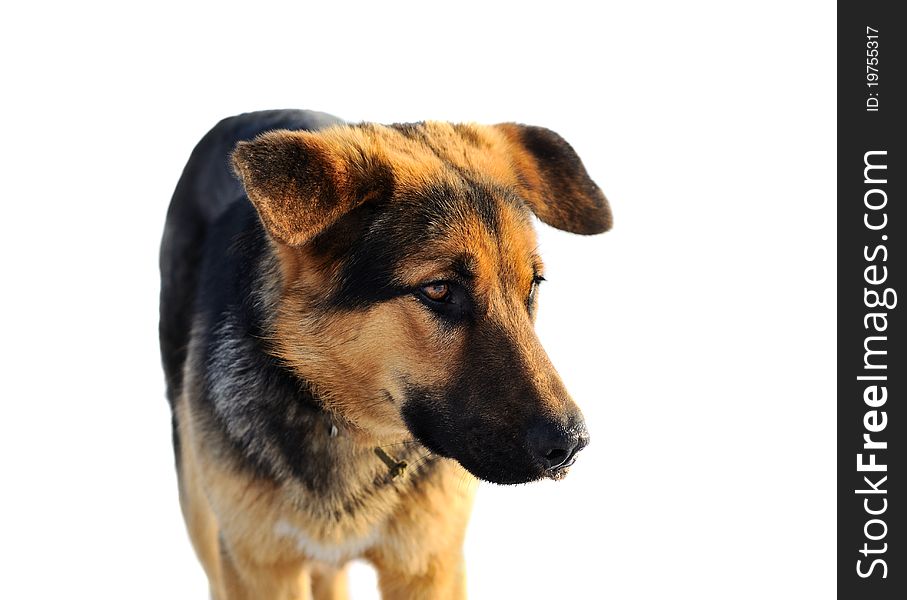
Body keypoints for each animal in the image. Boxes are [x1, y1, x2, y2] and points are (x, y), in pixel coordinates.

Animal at [160, 109, 612, 600]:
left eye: (533, 285)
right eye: (439, 290)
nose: (570, 445)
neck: (343, 422)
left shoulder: (427, 563)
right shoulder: (258, 566)